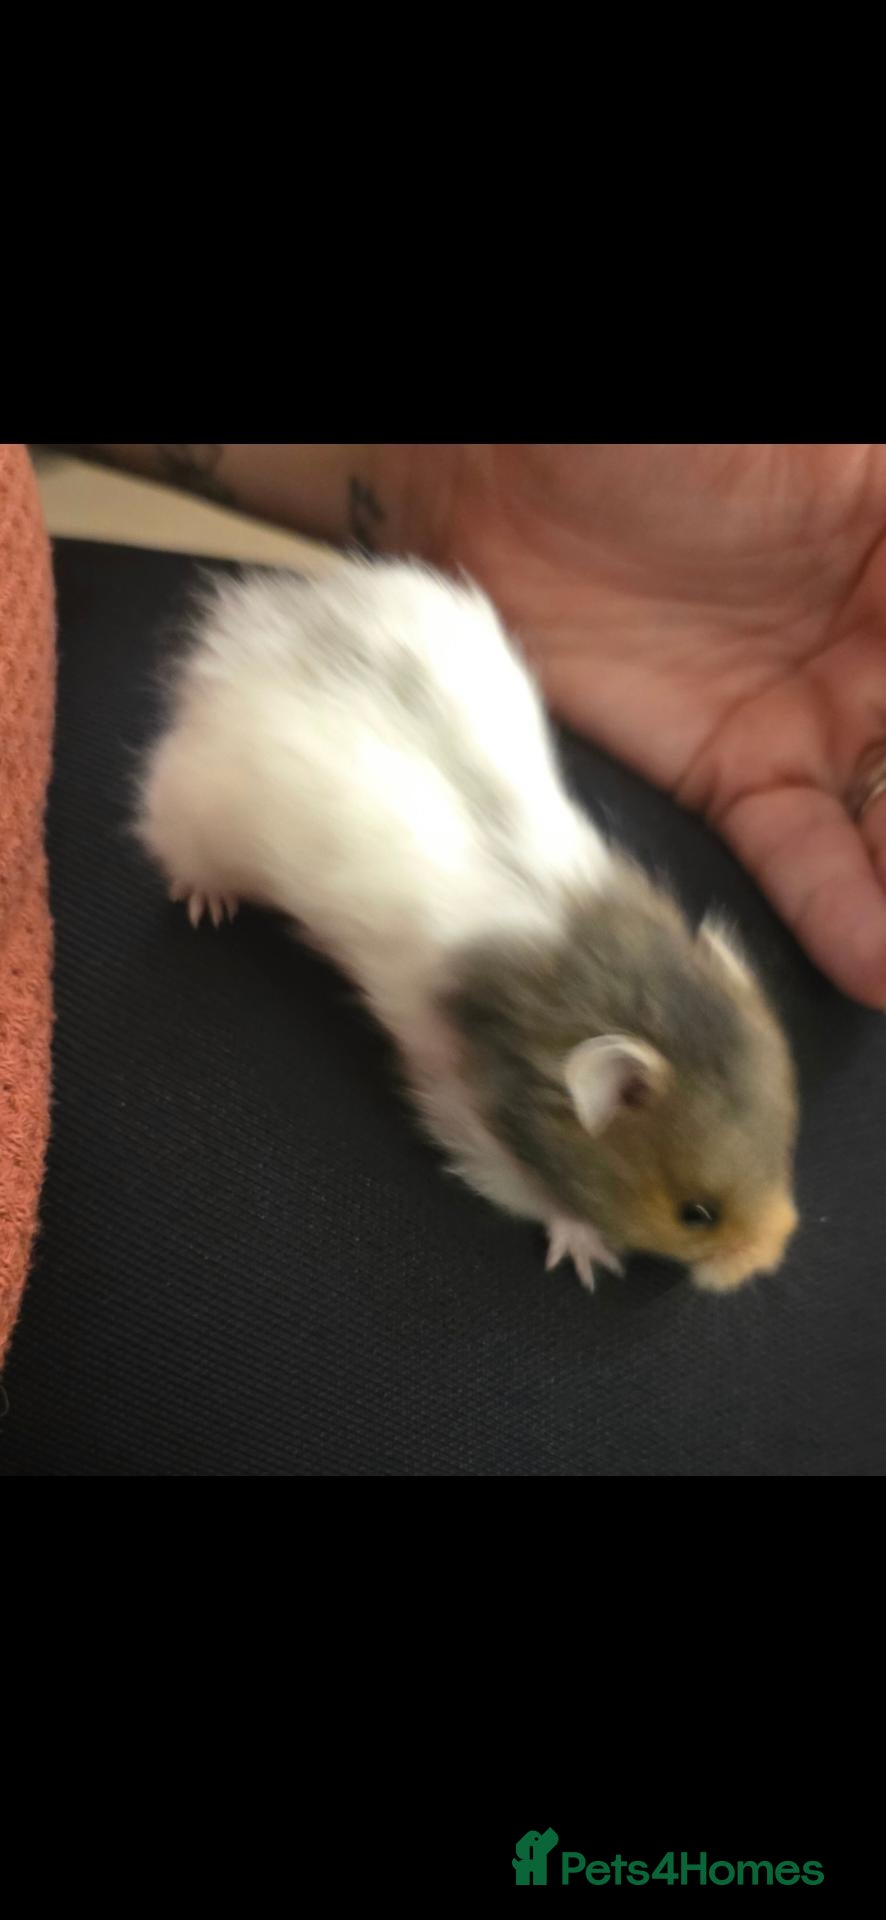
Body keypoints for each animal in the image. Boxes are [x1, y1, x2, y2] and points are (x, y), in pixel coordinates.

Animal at [135, 557, 799, 1294]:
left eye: (781, 1149)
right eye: (696, 1214)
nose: (770, 1257)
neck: (599, 980)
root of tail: (242, 634)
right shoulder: (466, 1116)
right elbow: (533, 1195)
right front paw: (591, 1259)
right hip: (195, 813)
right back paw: (206, 903)